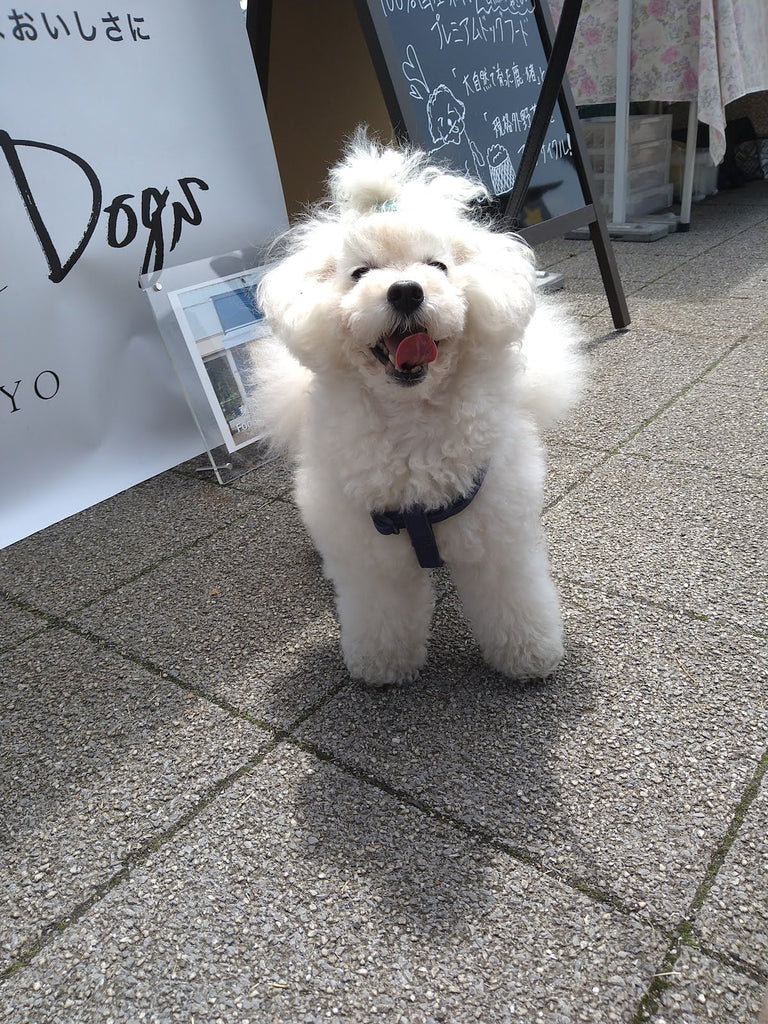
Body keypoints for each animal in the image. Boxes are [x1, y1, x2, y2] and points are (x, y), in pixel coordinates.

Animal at [252, 132, 581, 684]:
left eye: (438, 266)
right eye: (360, 273)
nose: (406, 291)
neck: (411, 422)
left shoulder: (497, 536)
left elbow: (514, 602)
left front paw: (529, 656)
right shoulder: (372, 557)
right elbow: (382, 613)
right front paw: (382, 666)